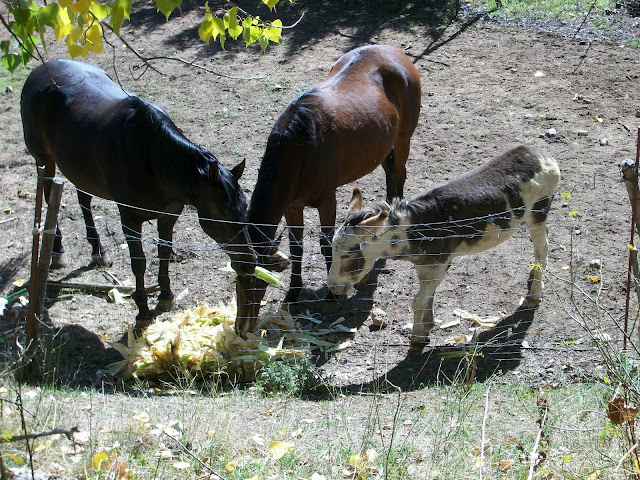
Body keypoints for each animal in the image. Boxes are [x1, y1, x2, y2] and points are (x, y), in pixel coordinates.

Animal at [22, 58, 258, 324]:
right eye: (222, 211)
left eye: (244, 206)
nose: (250, 262)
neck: (154, 159)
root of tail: (40, 70)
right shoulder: (130, 219)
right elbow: (139, 262)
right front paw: (143, 312)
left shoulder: (169, 215)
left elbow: (164, 251)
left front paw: (166, 296)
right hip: (44, 160)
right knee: (49, 194)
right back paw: (57, 251)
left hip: (81, 170)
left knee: (84, 200)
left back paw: (98, 251)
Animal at [238, 47, 422, 336]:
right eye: (236, 280)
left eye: (258, 281)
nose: (242, 328)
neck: (299, 147)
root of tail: (395, 52)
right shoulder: (292, 206)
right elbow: (297, 248)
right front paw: (293, 295)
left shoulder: (327, 200)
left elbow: (326, 244)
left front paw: (332, 296)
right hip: (383, 143)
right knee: (392, 175)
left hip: (403, 138)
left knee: (399, 175)